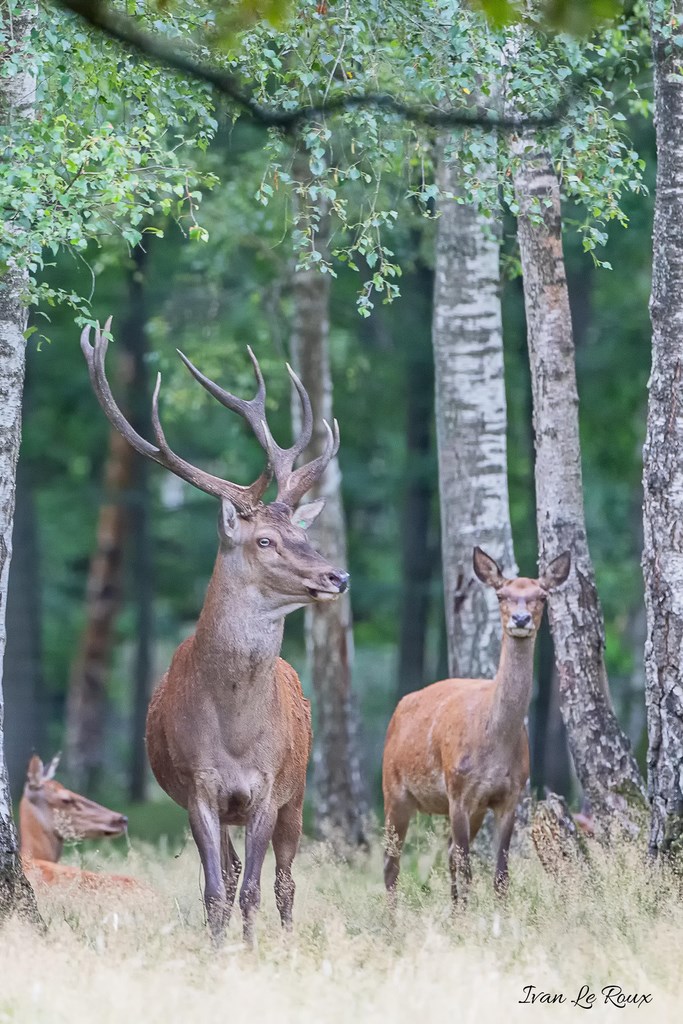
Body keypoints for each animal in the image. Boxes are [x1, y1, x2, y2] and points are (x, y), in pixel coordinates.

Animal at [80, 319, 349, 945]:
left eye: (302, 534)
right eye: (265, 540)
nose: (338, 576)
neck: (234, 732)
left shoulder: (268, 787)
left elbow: (252, 888)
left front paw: (251, 952)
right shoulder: (198, 788)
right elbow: (215, 891)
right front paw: (219, 951)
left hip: (300, 792)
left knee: (285, 881)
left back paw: (287, 936)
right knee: (230, 871)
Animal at [382, 546, 570, 907]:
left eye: (542, 596)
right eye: (501, 594)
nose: (521, 620)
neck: (494, 741)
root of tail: (398, 710)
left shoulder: (510, 795)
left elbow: (500, 875)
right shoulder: (458, 791)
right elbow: (468, 867)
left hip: (468, 809)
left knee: (447, 856)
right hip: (393, 788)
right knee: (391, 862)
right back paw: (392, 918)